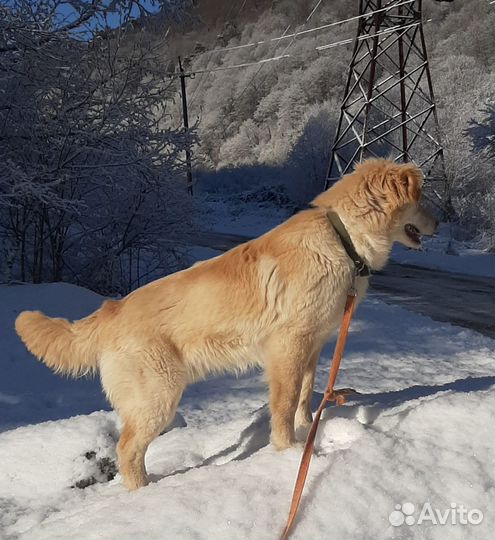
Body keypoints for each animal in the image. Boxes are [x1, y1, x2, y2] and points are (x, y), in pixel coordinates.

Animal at [15, 158, 438, 492]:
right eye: (421, 199)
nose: (438, 224)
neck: (343, 238)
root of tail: (109, 311)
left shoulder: (312, 345)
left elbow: (304, 394)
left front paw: (308, 431)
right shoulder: (287, 347)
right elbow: (284, 404)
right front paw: (289, 451)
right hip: (159, 396)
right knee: (127, 450)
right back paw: (146, 494)